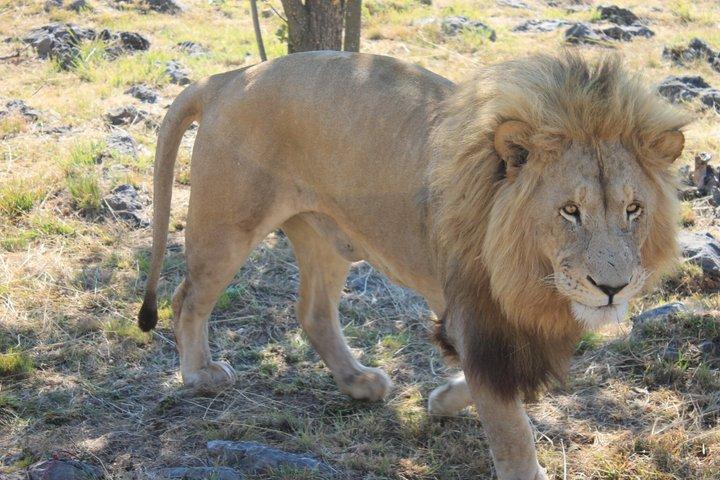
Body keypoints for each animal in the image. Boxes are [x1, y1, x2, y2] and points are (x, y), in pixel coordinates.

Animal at [138, 51, 688, 479]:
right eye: (570, 211)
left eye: (633, 210)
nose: (612, 287)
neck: (531, 273)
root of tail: (230, 76)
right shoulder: (476, 315)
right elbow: (509, 425)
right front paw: (522, 465)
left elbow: (485, 386)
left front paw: (443, 399)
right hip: (228, 226)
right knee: (186, 298)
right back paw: (200, 374)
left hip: (324, 235)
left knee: (313, 312)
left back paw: (358, 383)